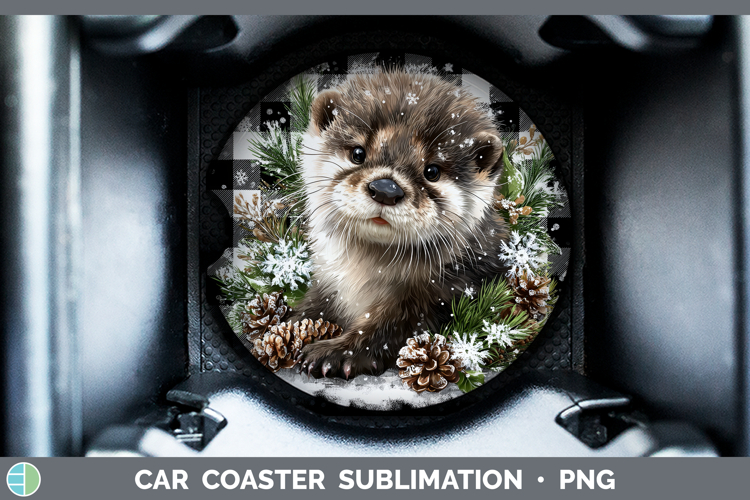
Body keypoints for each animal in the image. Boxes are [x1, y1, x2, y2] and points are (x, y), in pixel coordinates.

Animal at [292, 69, 509, 379]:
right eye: (358, 153)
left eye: (432, 171)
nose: (385, 189)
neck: (365, 275)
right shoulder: (328, 278)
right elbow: (314, 305)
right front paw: (290, 324)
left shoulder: (447, 291)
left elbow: (391, 327)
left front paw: (335, 353)